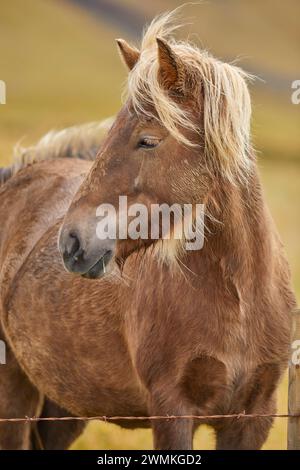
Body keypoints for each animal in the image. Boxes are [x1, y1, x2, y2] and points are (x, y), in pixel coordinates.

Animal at [0, 11, 296, 450]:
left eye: (148, 141)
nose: (71, 242)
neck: (240, 298)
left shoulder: (252, 417)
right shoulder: (172, 408)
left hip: (63, 407)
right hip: (14, 391)